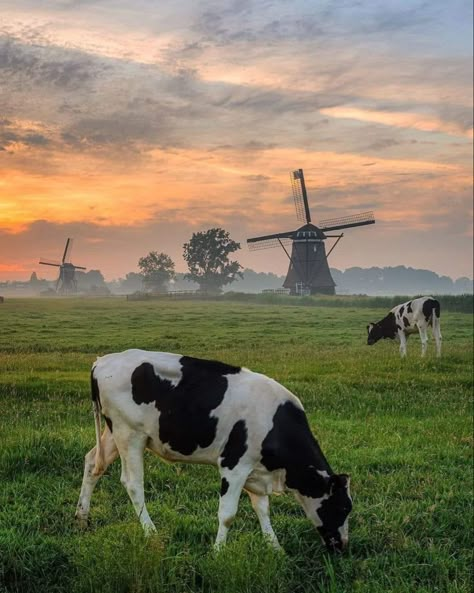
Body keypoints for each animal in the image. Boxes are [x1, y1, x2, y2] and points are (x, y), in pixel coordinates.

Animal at [75, 350, 352, 552]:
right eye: (343, 508)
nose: (342, 546)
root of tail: (102, 361)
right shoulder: (234, 465)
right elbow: (228, 514)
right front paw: (218, 552)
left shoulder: (255, 471)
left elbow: (262, 509)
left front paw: (275, 548)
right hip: (129, 433)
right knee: (132, 483)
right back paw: (151, 532)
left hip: (114, 433)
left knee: (92, 463)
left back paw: (81, 518)